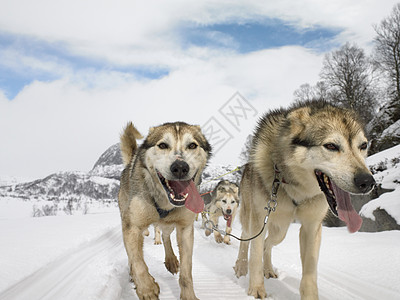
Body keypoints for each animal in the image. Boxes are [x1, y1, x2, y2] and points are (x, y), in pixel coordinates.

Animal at [119, 121, 212, 300]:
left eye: (192, 145)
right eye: (162, 145)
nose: (180, 167)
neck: (164, 203)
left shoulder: (185, 228)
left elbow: (186, 271)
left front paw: (189, 295)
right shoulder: (132, 227)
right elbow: (138, 262)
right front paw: (147, 288)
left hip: (169, 224)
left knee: (166, 236)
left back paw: (171, 260)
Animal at [233, 101, 376, 300]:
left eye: (363, 145)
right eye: (331, 146)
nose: (367, 181)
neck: (294, 187)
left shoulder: (312, 226)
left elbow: (310, 271)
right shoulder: (259, 220)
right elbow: (254, 256)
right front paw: (256, 290)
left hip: (280, 230)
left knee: (268, 244)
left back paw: (268, 269)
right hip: (253, 220)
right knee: (246, 239)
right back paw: (240, 266)